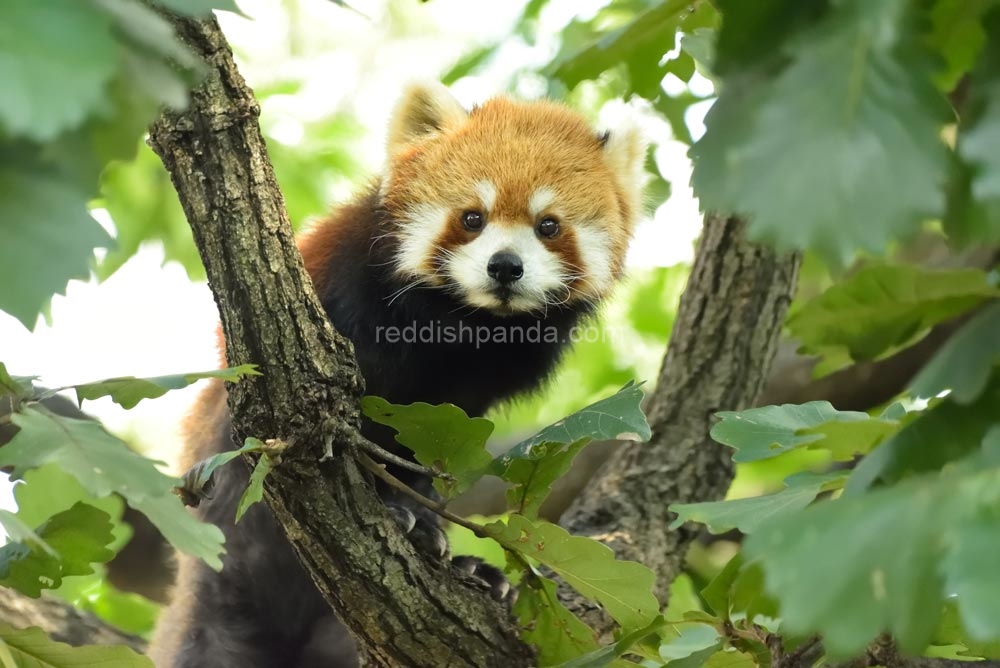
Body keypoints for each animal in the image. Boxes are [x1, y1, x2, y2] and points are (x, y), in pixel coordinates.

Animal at [148, 83, 648, 668]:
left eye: (548, 226)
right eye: (472, 218)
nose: (505, 266)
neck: (462, 324)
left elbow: (427, 449)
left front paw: (421, 519)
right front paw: (392, 506)